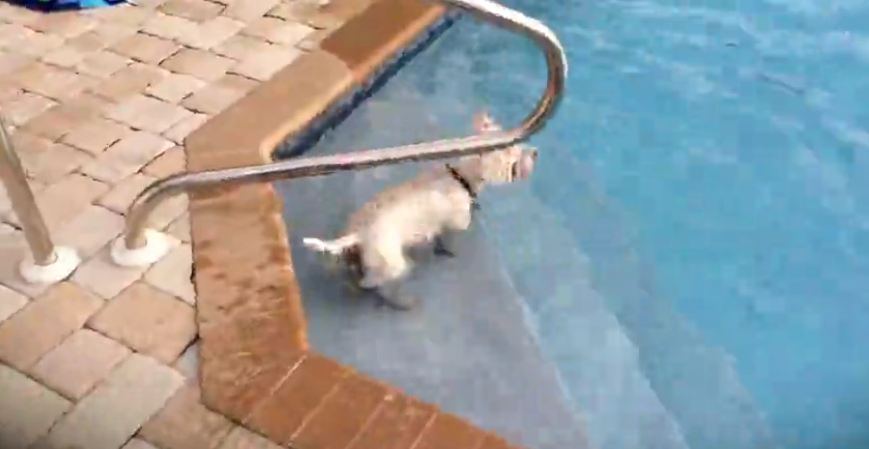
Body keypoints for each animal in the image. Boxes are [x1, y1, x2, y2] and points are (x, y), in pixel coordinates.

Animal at [304, 112, 536, 308]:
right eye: (515, 160)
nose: (535, 152)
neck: (460, 177)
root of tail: (361, 233)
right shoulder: (456, 224)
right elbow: (451, 238)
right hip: (393, 265)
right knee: (380, 285)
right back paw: (401, 301)